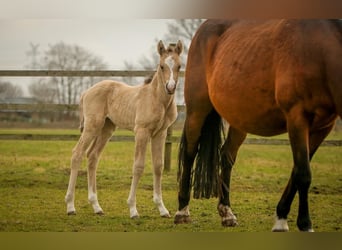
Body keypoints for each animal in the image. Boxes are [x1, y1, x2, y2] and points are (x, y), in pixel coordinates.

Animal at [65, 40, 183, 218]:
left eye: (179, 66)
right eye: (162, 66)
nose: (170, 87)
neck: (157, 99)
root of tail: (86, 92)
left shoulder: (160, 133)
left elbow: (158, 166)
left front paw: (162, 209)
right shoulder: (141, 132)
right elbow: (138, 167)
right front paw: (133, 209)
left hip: (106, 129)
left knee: (92, 157)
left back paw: (96, 206)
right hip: (92, 126)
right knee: (77, 154)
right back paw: (71, 206)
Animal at [175, 20, 340, 232]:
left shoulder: (323, 127)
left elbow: (297, 171)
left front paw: (281, 217)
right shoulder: (297, 118)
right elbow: (303, 174)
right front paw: (304, 224)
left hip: (239, 118)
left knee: (226, 156)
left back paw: (227, 213)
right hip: (197, 110)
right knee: (190, 152)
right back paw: (182, 211)